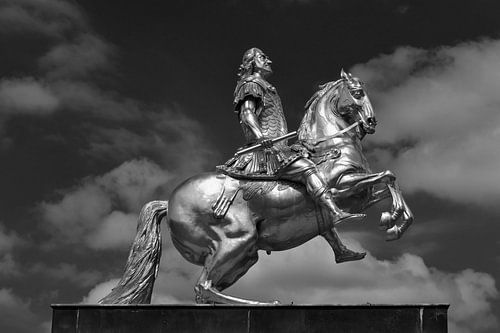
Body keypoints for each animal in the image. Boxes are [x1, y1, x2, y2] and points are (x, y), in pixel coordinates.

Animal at [98, 70, 414, 306]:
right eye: (358, 93)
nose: (371, 122)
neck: (329, 146)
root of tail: (169, 201)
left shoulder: (362, 195)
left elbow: (389, 181)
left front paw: (396, 222)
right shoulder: (342, 189)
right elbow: (386, 176)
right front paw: (392, 222)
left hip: (245, 255)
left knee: (208, 290)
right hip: (236, 240)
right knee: (204, 287)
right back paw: (263, 303)